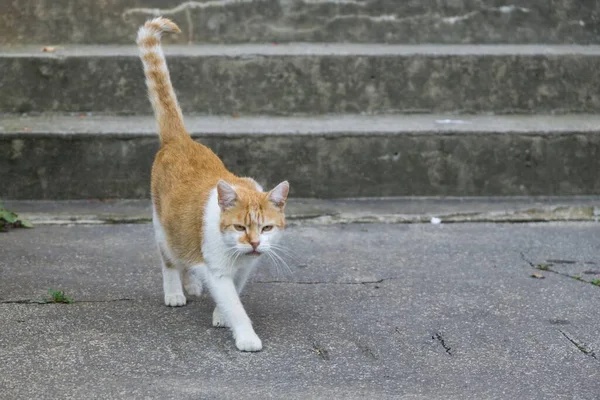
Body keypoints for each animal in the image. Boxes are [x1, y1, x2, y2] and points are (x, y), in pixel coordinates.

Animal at [136, 17, 288, 352]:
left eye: (266, 228)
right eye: (240, 227)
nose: (254, 243)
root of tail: (181, 140)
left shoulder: (243, 269)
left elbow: (234, 293)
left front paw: (220, 315)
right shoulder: (218, 271)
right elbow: (234, 304)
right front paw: (246, 336)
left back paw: (191, 283)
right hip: (161, 225)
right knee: (169, 260)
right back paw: (175, 292)